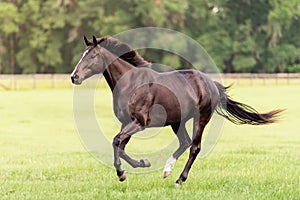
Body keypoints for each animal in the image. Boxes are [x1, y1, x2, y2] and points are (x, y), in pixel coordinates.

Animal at [71, 36, 284, 186]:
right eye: (82, 54)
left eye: (92, 56)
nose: (74, 77)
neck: (131, 83)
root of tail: (212, 84)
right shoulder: (126, 122)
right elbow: (120, 145)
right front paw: (136, 167)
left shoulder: (139, 122)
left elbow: (116, 141)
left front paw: (126, 171)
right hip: (177, 121)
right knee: (185, 142)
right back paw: (167, 170)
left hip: (200, 118)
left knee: (194, 147)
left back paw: (179, 180)